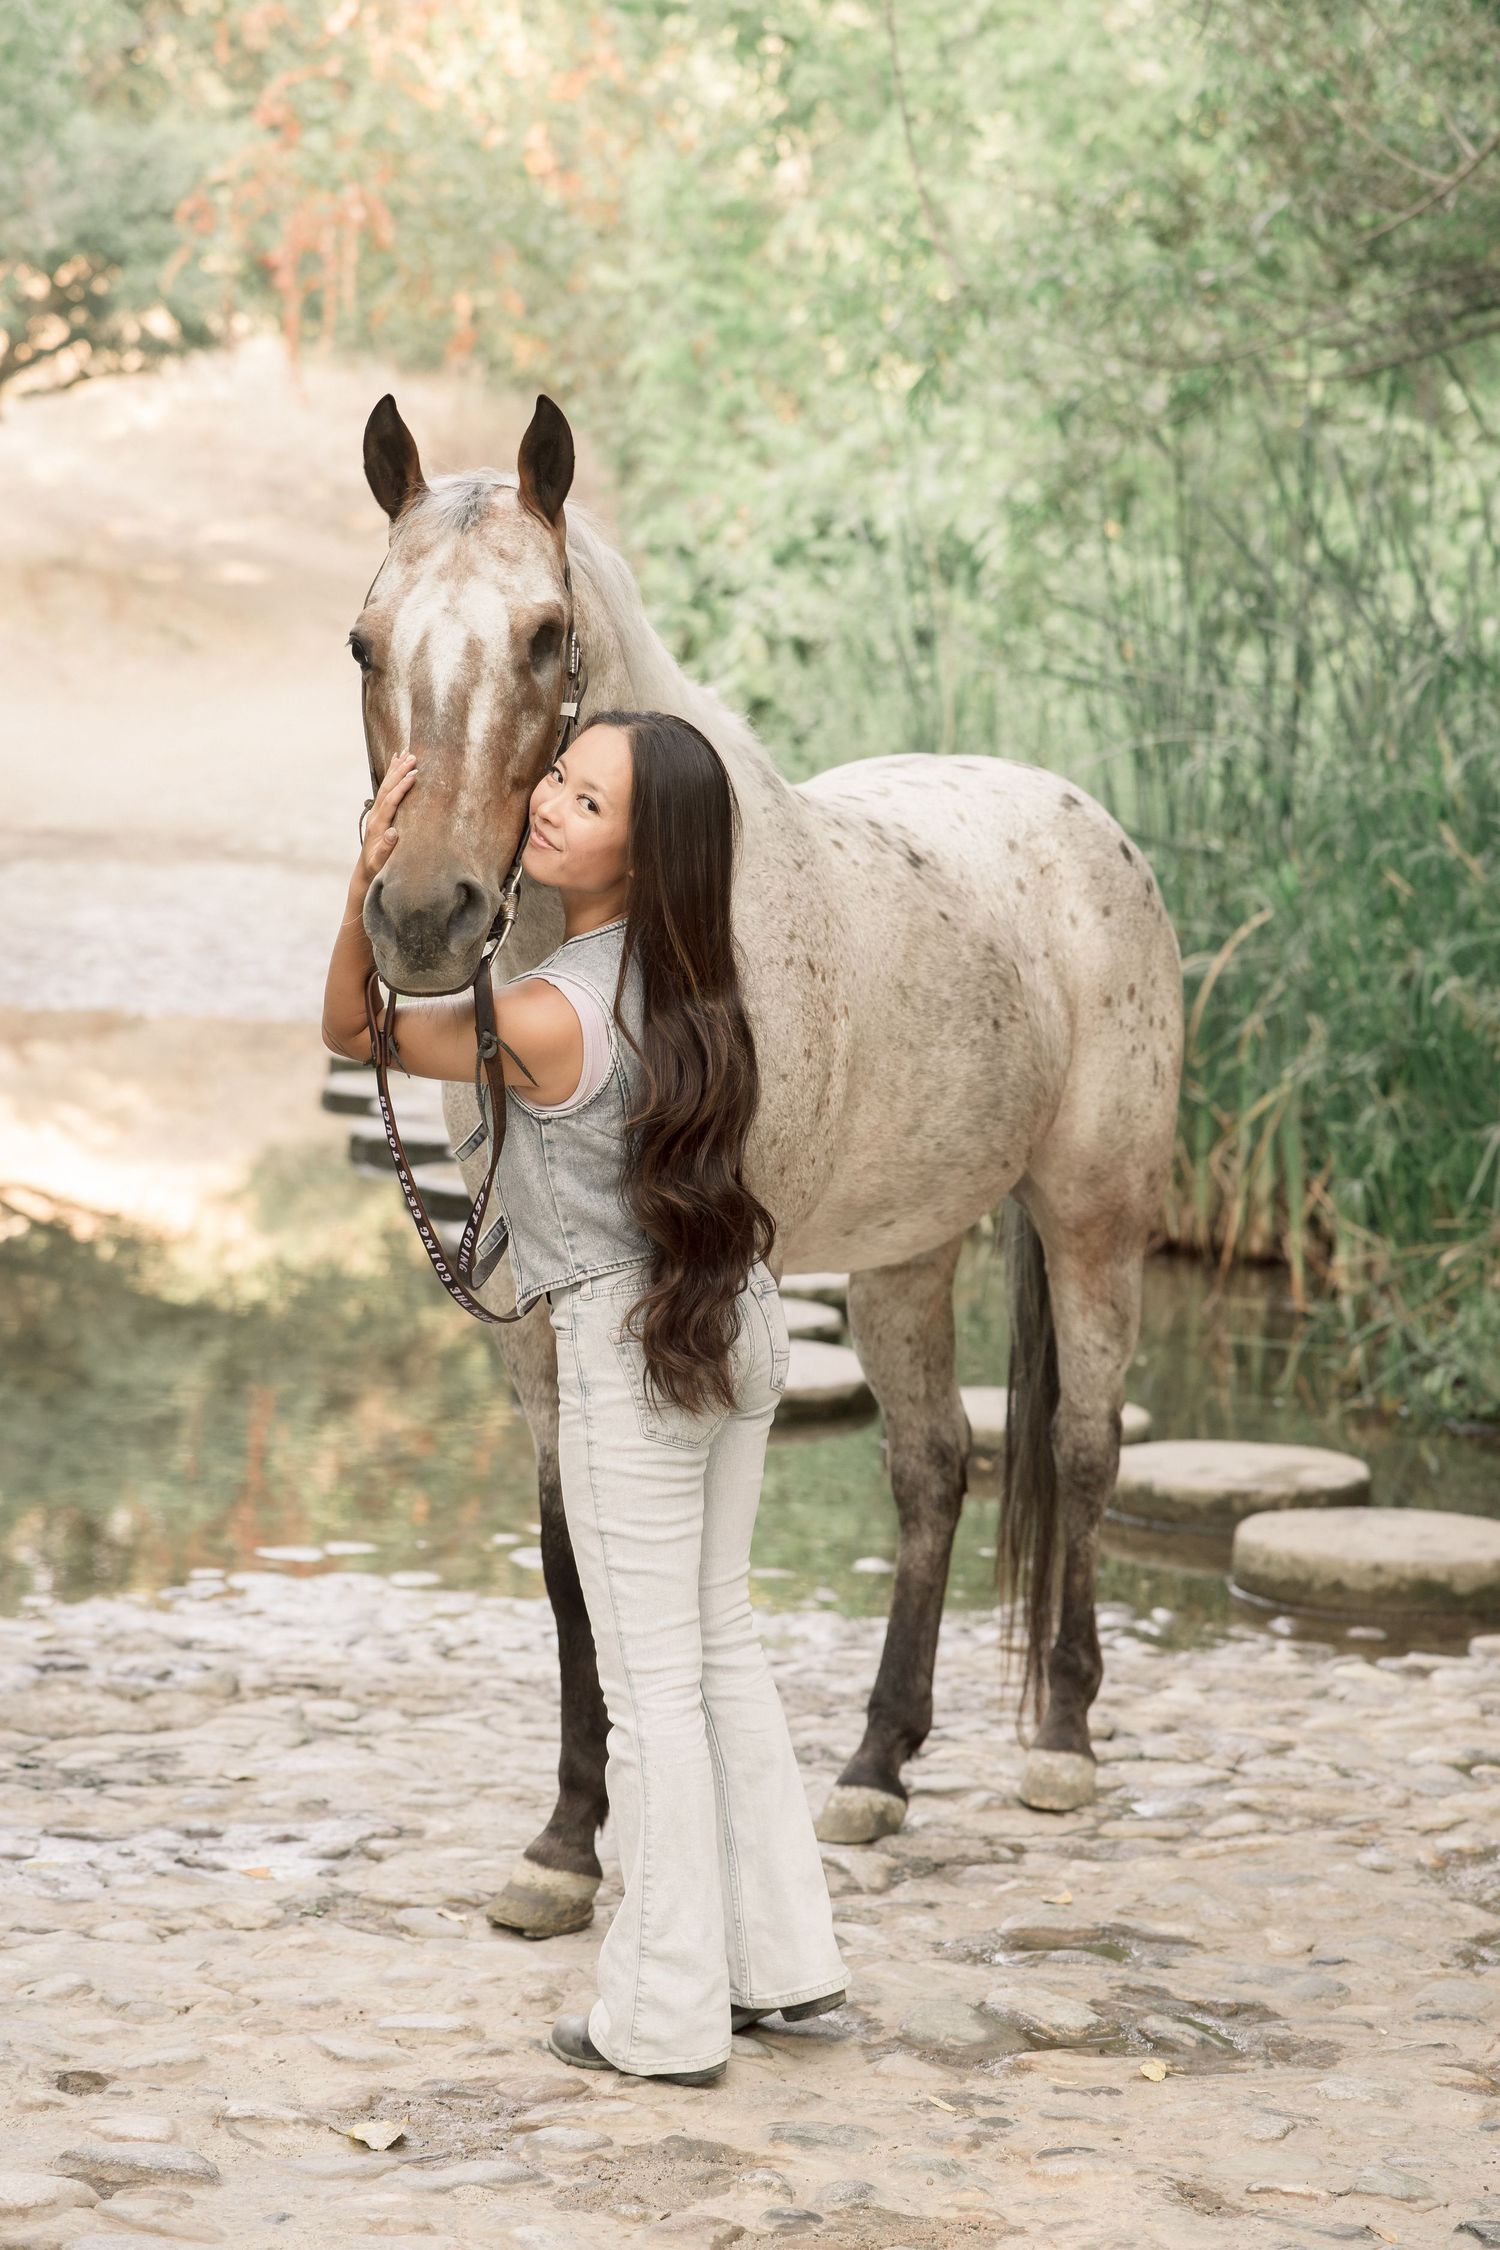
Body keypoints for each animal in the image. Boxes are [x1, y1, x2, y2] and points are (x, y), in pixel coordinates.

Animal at [352, 390, 1185, 1938]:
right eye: (366, 643)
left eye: (546, 635)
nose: (427, 918)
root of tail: (1074, 815)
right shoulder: (533, 1326)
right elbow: (571, 1563)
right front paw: (564, 1848)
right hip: (908, 1254)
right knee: (933, 1468)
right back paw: (874, 1769)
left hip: (1095, 1218)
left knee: (1083, 1448)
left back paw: (1060, 1746)